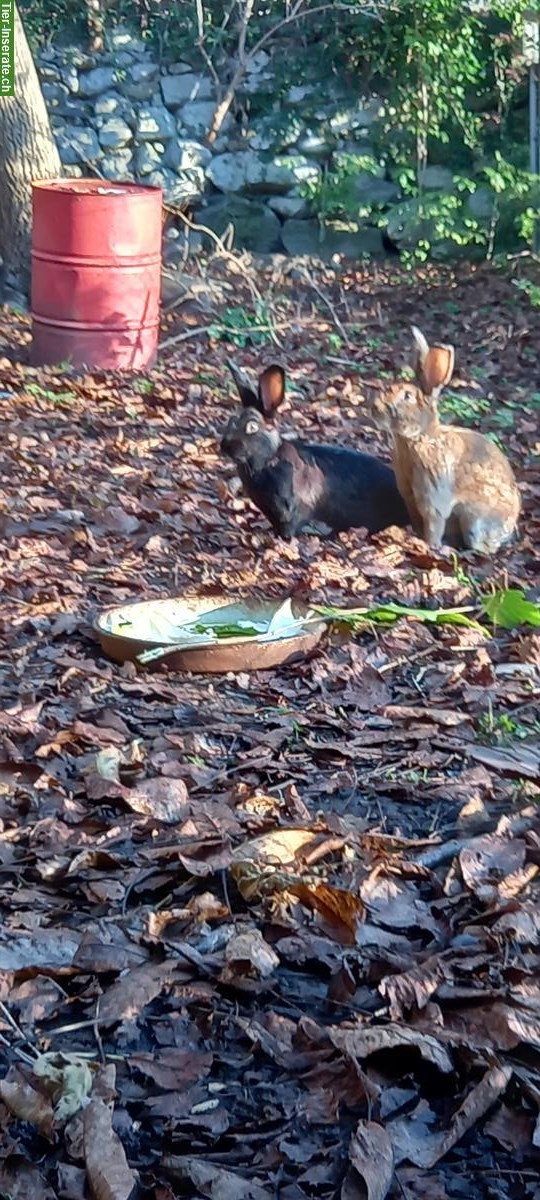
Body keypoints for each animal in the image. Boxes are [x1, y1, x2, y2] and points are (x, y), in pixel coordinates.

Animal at [219, 360, 410, 540]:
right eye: (231, 420)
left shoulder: (289, 510)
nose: (224, 447)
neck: (269, 459)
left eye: (252, 427)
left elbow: (289, 527)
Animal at [374, 328, 520, 552]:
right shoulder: (410, 497)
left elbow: (435, 523)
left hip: (475, 523)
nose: (375, 408)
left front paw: (429, 544)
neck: (421, 437)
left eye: (407, 396)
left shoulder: (434, 496)